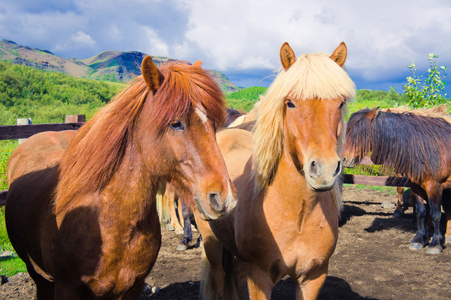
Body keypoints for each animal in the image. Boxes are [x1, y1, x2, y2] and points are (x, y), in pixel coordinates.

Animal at [5, 55, 238, 298]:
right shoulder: (67, 287)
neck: (113, 223)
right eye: (176, 123)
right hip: (38, 275)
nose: (225, 198)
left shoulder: (133, 286)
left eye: (212, 124)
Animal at [344, 105, 450, 253]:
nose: (343, 159)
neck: (423, 148)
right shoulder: (416, 186)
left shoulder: (434, 186)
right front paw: (419, 239)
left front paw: (435, 244)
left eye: (360, 134)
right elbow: (421, 212)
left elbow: (435, 214)